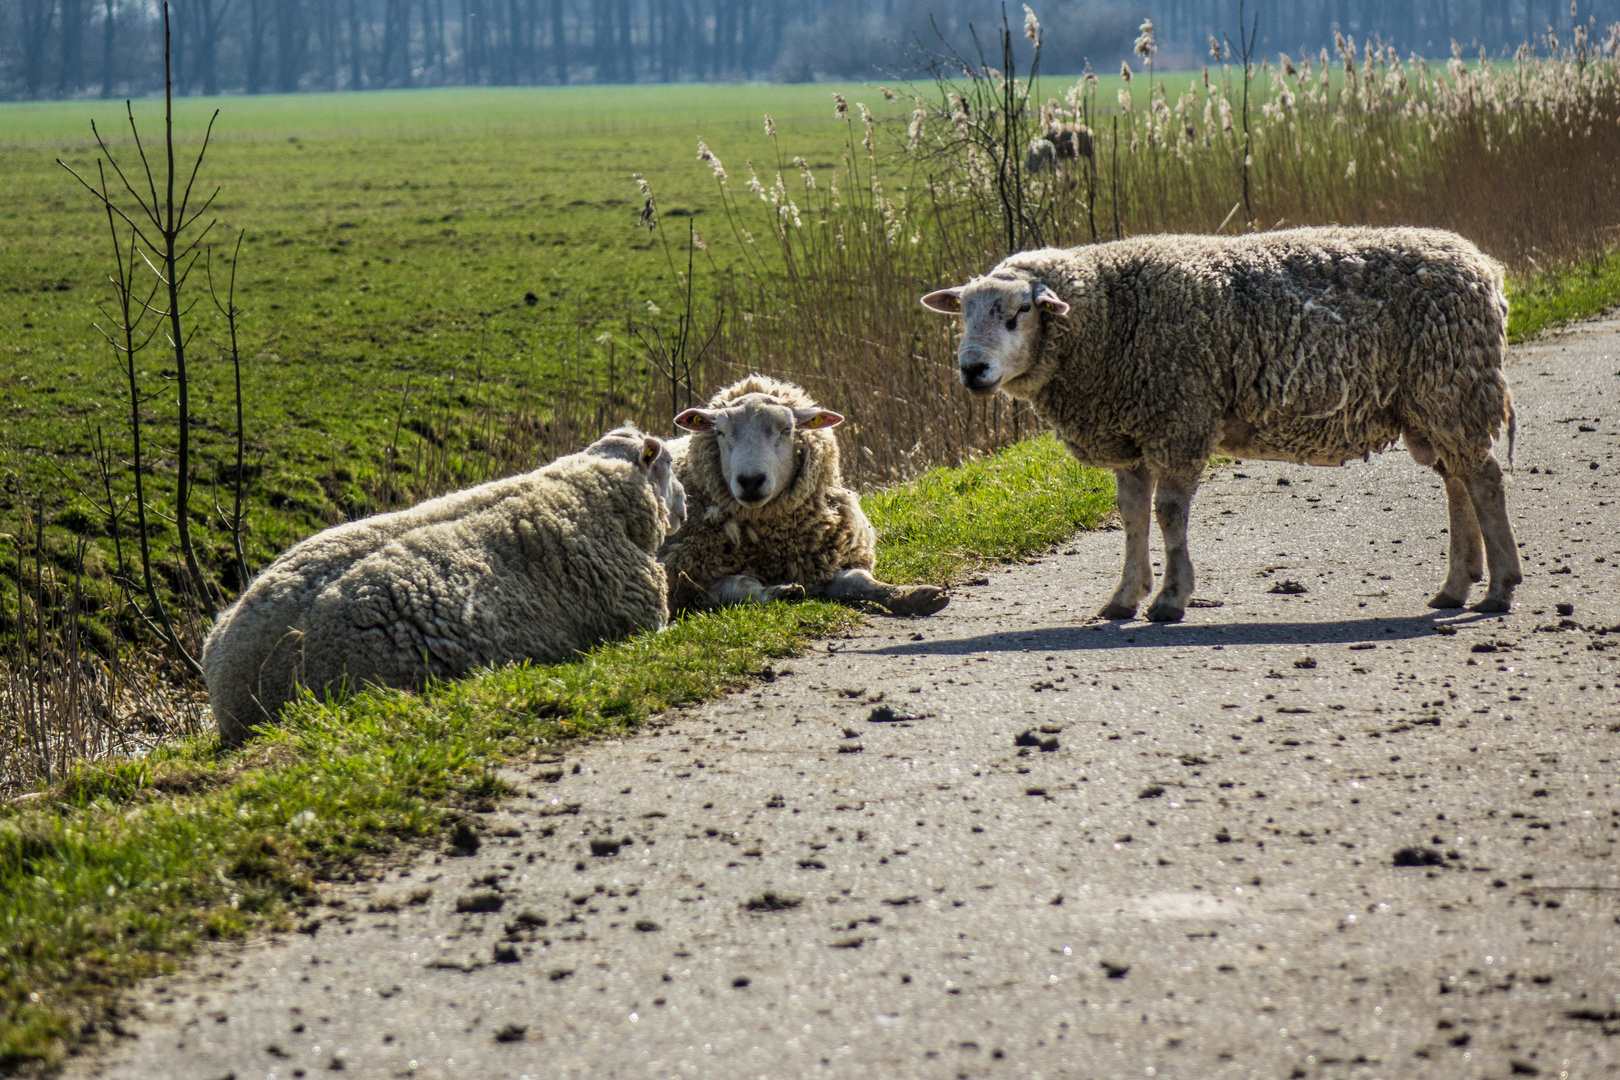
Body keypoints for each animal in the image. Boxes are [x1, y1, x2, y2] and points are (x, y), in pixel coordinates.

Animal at [660, 375, 946, 615]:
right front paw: (779, 592)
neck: (773, 542)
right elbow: (740, 586)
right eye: (719, 432)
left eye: (787, 429)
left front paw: (911, 594)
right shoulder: (688, 582)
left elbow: (856, 580)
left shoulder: (823, 562)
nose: (750, 481)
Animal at [926, 223, 1516, 621]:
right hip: (1428, 403)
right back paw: (1455, 587)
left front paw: (1170, 598)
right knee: (1458, 480)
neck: (1107, 318)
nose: (971, 369)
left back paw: (1499, 588)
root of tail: (1484, 268)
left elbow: (1168, 512)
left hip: (1450, 386)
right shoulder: (1129, 433)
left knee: (1484, 479)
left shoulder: (1180, 417)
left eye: (1019, 312)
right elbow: (1132, 515)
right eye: (962, 316)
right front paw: (1124, 597)